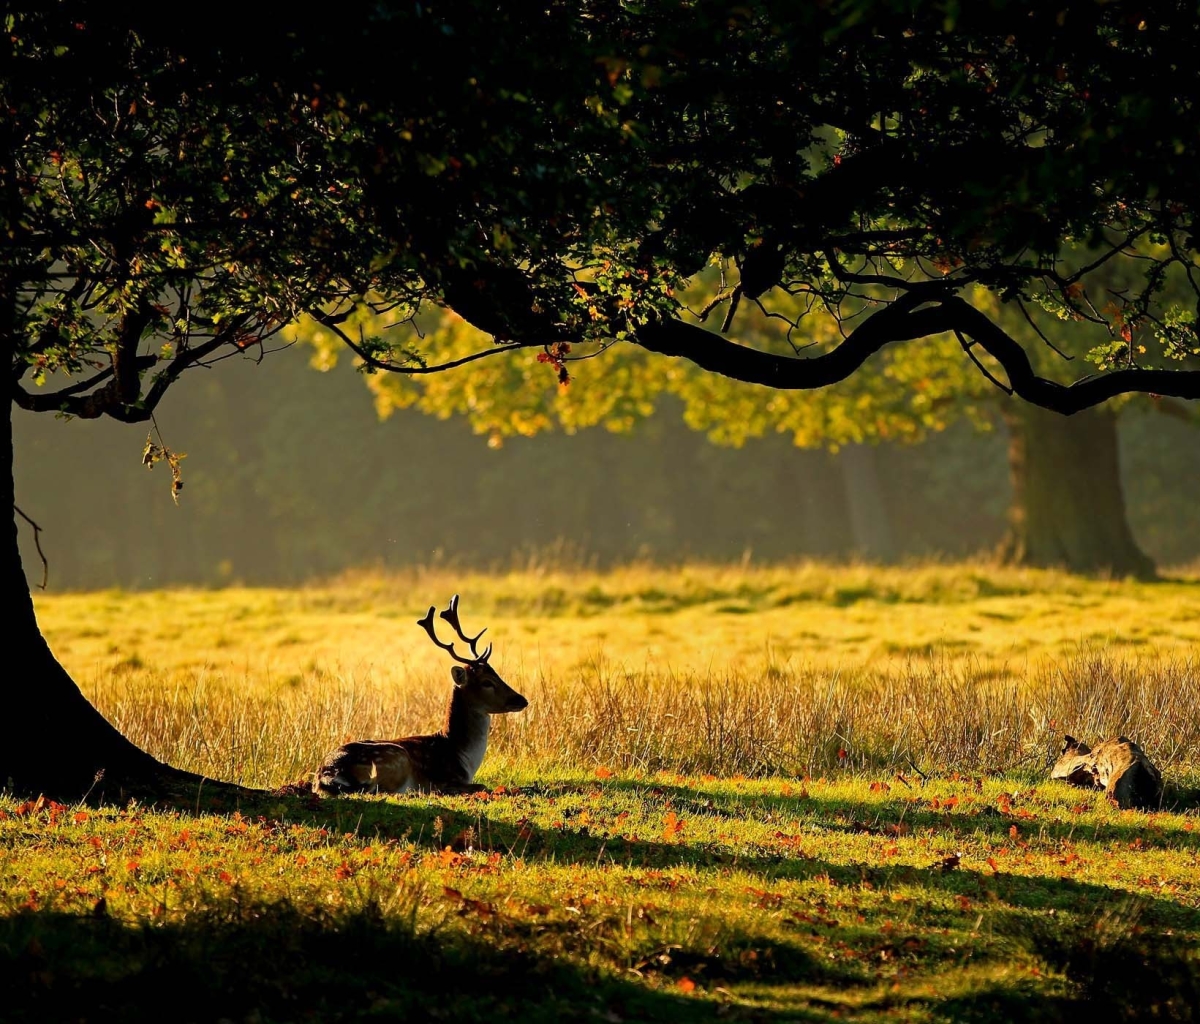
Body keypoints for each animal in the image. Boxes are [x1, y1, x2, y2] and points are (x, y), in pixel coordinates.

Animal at [312, 590, 528, 797]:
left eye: (496, 673)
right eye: (486, 682)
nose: (522, 700)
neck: (461, 757)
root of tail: (326, 775)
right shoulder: (444, 779)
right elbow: (481, 785)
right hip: (395, 757)